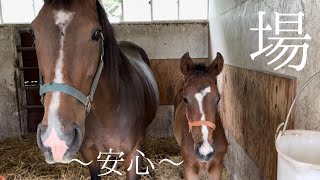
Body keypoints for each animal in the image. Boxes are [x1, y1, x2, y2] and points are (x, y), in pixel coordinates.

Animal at [31, 0, 159, 179]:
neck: (108, 110)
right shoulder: (88, 154)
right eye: (33, 33)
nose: (56, 138)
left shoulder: (133, 155)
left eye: (97, 34)